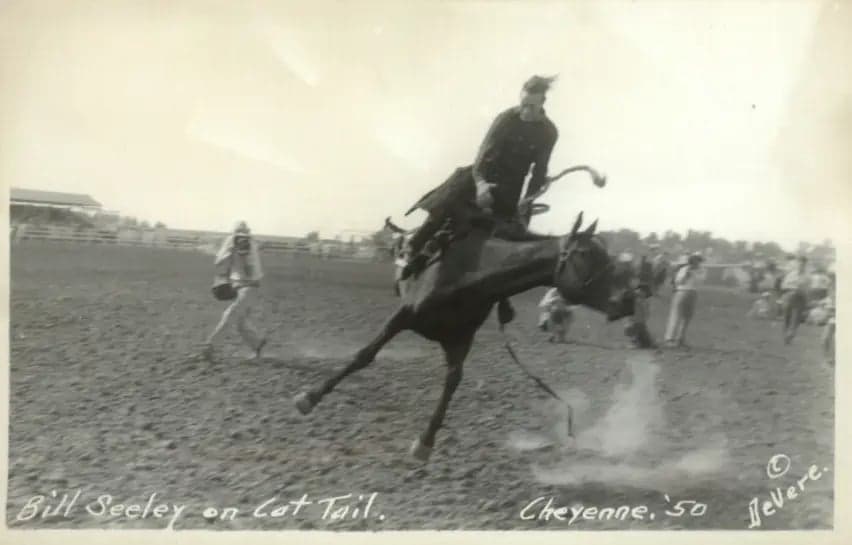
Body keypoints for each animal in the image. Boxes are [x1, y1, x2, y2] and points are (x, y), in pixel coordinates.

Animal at [292, 165, 632, 460]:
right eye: (585, 254)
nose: (626, 300)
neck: (467, 274)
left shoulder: (461, 340)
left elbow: (453, 382)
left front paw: (425, 442)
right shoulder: (403, 316)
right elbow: (364, 355)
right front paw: (309, 397)